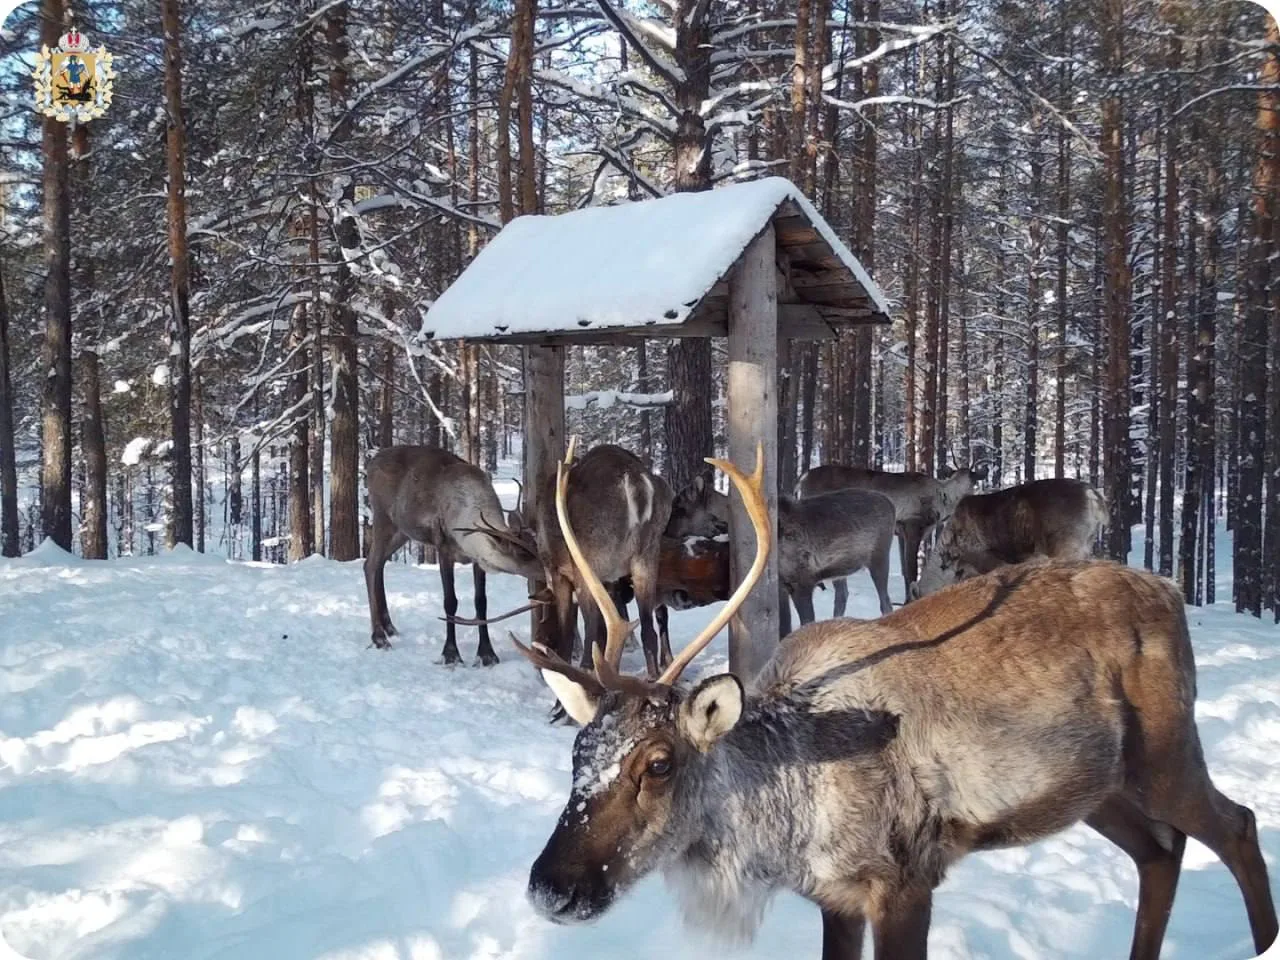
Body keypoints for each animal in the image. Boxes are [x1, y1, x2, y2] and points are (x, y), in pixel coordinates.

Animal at [364, 446, 544, 665]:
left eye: (536, 546)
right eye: (522, 554)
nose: (549, 572)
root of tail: (372, 462)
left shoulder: (477, 559)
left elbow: (481, 602)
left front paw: (487, 654)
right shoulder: (443, 549)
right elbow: (450, 601)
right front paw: (450, 654)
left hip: (401, 531)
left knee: (379, 564)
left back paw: (389, 627)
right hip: (383, 519)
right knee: (370, 565)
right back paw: (379, 637)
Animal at [796, 464, 978, 605]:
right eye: (974, 482)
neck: (942, 498)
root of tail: (802, 479)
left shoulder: (902, 534)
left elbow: (905, 571)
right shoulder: (912, 526)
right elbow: (911, 570)